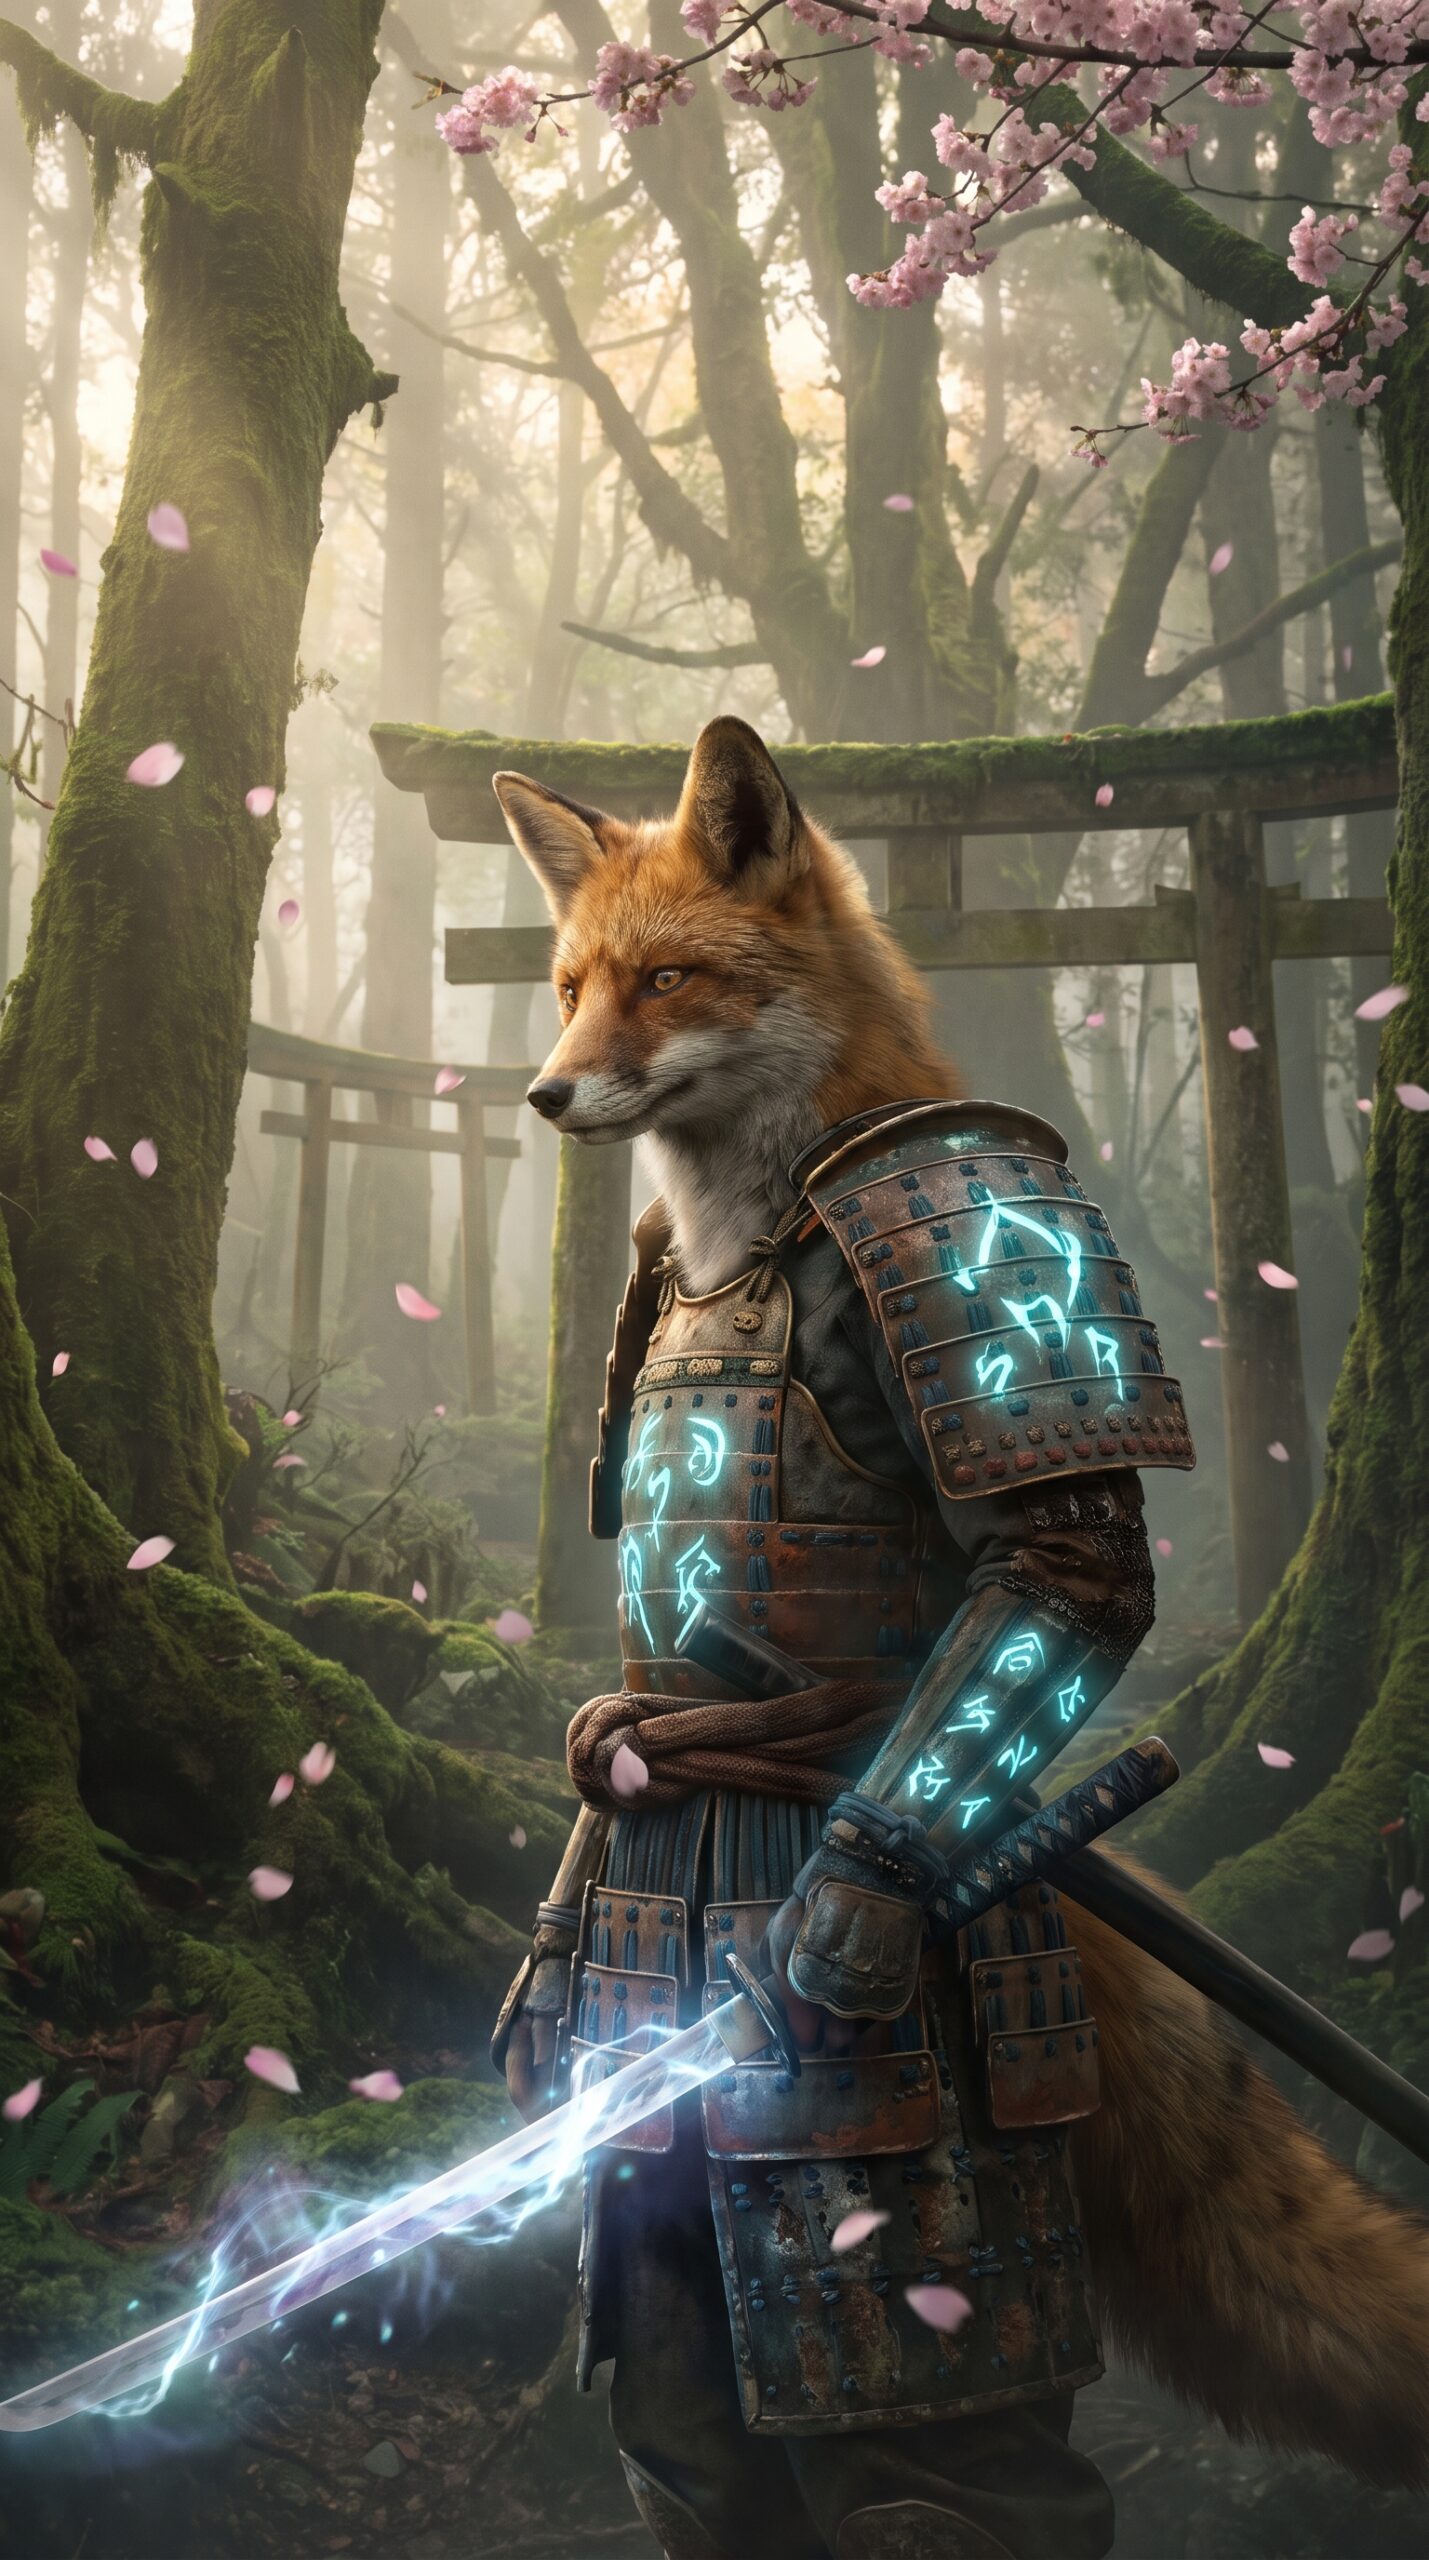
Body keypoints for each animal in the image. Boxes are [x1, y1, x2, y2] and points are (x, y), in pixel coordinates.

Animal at [494, 713, 1429, 2495]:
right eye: (570, 982)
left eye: (665, 981)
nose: (545, 1090)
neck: (748, 1223)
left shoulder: (975, 1256)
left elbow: (1065, 1567)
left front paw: (836, 1928)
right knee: (688, 2427)